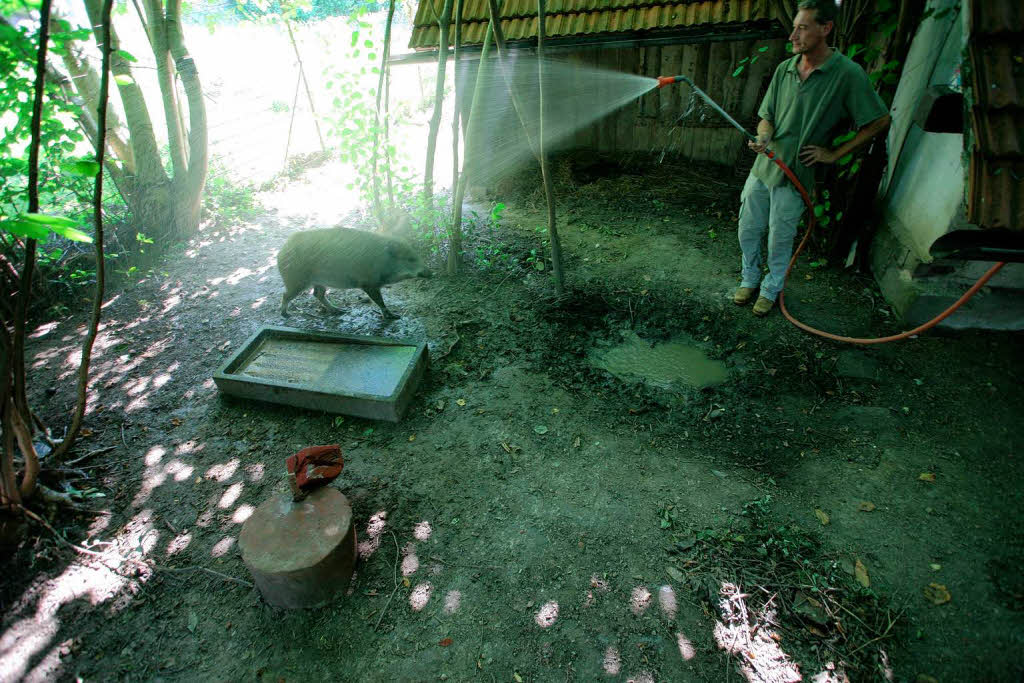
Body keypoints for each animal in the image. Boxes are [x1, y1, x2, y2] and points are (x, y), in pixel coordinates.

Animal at [278, 225, 430, 319]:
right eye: (410, 259)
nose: (431, 273)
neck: (384, 261)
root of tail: (282, 250)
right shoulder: (368, 283)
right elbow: (379, 301)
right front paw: (394, 317)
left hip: (318, 281)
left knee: (317, 294)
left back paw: (339, 310)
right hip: (296, 280)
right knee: (286, 295)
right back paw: (286, 315)